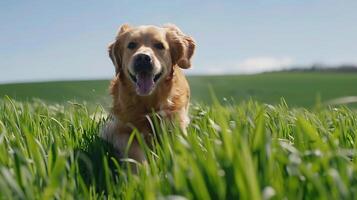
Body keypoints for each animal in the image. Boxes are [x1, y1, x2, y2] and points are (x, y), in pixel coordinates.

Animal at [100, 24, 195, 162]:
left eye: (160, 45)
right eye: (131, 45)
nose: (143, 58)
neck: (148, 103)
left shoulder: (176, 124)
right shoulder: (118, 130)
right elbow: (135, 152)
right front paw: (142, 167)